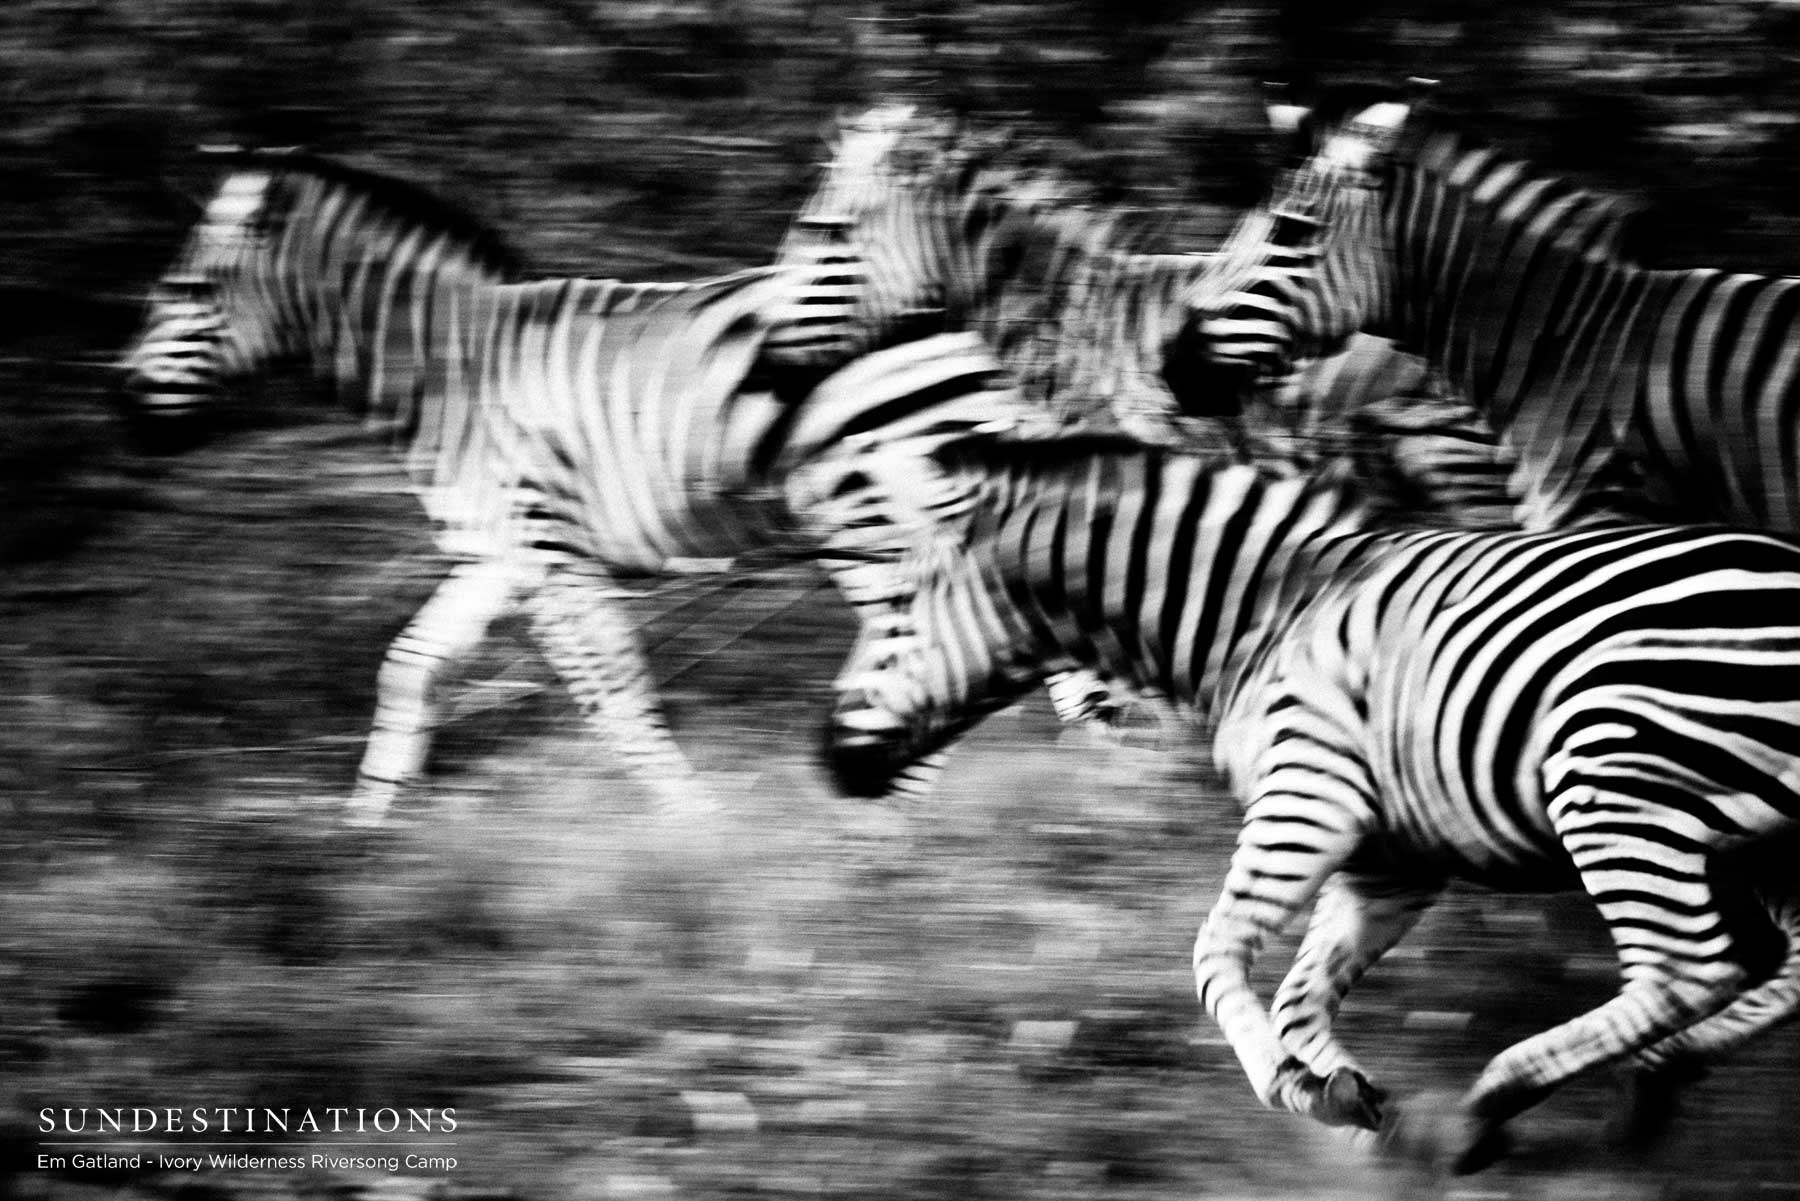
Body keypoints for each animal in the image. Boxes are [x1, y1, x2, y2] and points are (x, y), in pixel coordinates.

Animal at [119, 147, 1030, 821]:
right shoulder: (491, 558)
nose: (128, 406)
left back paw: (891, 828)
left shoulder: (551, 557)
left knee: (946, 647)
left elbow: (614, 698)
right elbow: (409, 666)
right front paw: (364, 833)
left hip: (879, 521)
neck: (450, 370)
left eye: (188, 290)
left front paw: (697, 833)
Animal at [821, 431, 1800, 1172]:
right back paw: (1652, 1080)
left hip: (1613, 775)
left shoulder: (1308, 799)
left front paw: (1302, 1086)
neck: (1264, 617)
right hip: (1755, 833)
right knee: (1773, 966)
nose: (829, 763)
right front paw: (1345, 1094)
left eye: (895, 607)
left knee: (1692, 966)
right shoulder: (1392, 859)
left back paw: (1489, 1105)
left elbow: (1214, 956)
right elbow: (1299, 991)